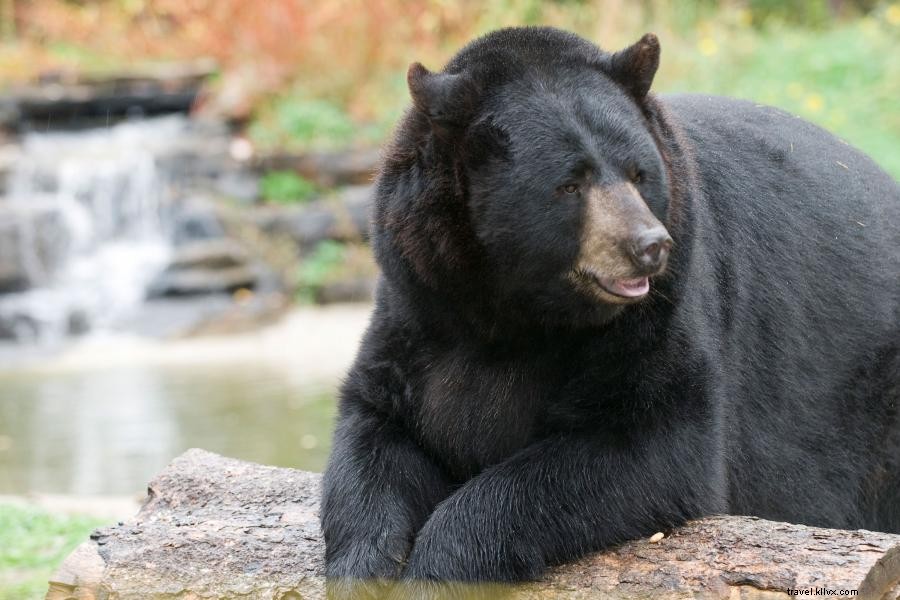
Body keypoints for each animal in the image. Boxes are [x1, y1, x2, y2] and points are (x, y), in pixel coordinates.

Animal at [320, 25, 896, 596]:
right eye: (569, 184)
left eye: (639, 174)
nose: (650, 246)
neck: (516, 313)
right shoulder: (420, 304)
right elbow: (375, 427)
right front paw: (365, 564)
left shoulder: (659, 315)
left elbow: (650, 441)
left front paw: (438, 566)